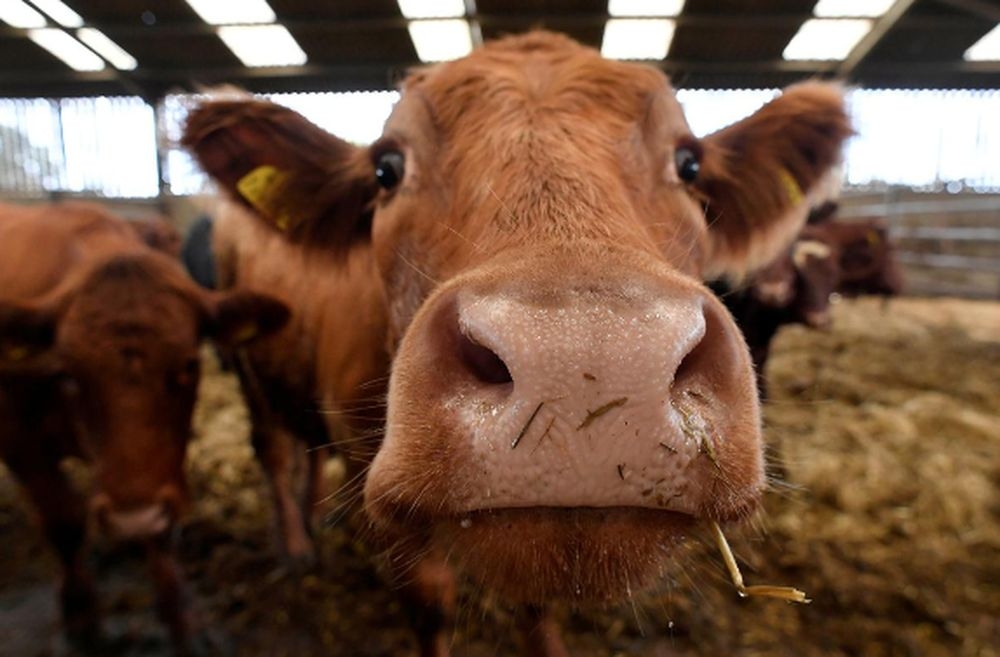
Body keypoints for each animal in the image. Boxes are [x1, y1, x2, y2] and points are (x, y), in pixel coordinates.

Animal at [0, 201, 288, 650]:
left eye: (188, 364)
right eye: (69, 373)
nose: (129, 521)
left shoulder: (159, 472)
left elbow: (160, 531)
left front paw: (182, 618)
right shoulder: (21, 443)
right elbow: (64, 525)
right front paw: (80, 615)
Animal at [182, 32, 851, 657]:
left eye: (688, 163)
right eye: (386, 168)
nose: (590, 355)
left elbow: (538, 607)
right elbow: (430, 603)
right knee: (272, 447)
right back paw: (295, 546)